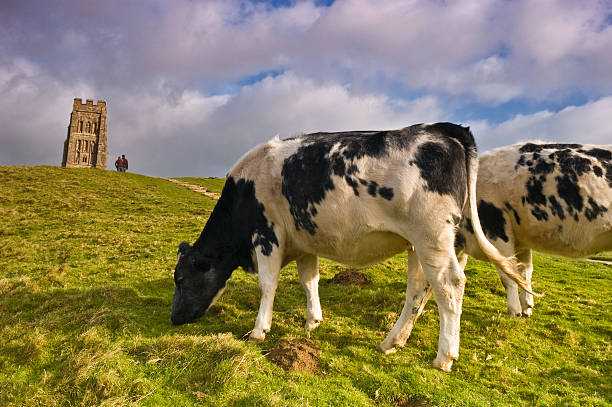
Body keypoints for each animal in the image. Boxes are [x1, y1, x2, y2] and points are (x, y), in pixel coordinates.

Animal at [170, 122, 528, 372]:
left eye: (182, 279)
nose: (174, 318)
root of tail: (442, 129)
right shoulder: (303, 241)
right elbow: (309, 280)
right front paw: (312, 321)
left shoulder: (267, 235)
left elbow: (267, 284)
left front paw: (259, 330)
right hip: (420, 244)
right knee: (418, 289)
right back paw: (392, 342)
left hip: (433, 237)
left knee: (449, 286)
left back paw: (444, 357)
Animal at [456, 142, 608, 318]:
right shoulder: (520, 241)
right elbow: (524, 272)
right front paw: (527, 307)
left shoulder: (496, 228)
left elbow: (508, 274)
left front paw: (514, 311)